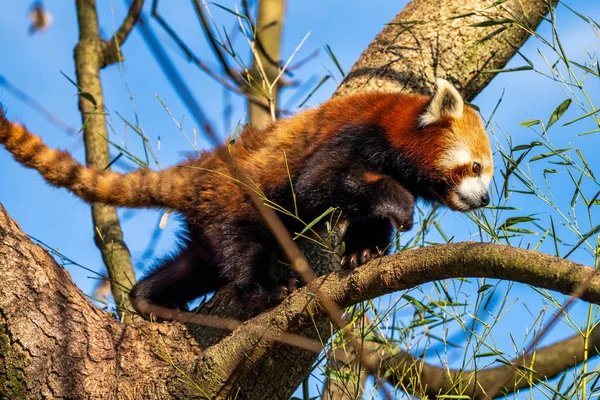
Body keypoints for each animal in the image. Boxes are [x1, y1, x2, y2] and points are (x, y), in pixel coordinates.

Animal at [0, 78, 494, 316]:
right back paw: (268, 293)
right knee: (242, 252)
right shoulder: (355, 137)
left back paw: (149, 299)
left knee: (198, 264)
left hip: (205, 220)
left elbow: (363, 217)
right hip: (233, 204)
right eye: (475, 168)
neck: (395, 126)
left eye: (487, 172)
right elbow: (319, 183)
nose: (487, 200)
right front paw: (397, 206)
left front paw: (364, 250)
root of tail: (203, 169)